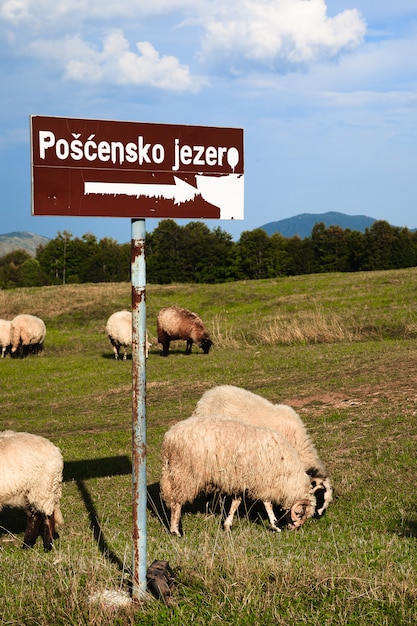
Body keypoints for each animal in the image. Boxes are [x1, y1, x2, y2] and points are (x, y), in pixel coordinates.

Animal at [159, 412, 316, 532]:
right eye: (301, 513)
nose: (294, 529)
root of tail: (169, 437)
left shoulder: (241, 480)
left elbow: (236, 503)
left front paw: (227, 525)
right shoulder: (263, 481)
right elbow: (267, 504)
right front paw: (275, 525)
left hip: (173, 472)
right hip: (184, 473)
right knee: (176, 502)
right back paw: (175, 530)